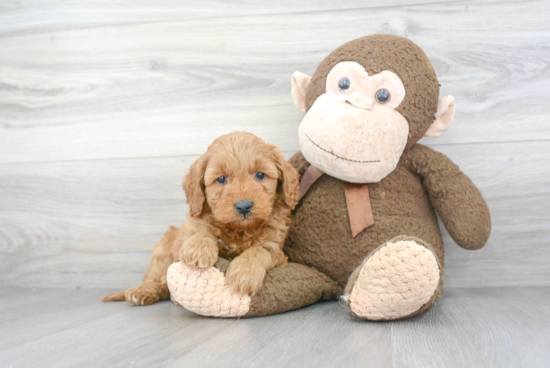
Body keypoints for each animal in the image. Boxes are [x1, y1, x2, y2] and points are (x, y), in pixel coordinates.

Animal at [103, 132, 302, 304]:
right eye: (221, 179)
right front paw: (198, 249)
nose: (244, 206)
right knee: (160, 282)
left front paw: (244, 274)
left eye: (260, 175)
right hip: (163, 248)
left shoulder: (276, 248)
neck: (239, 230)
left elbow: (259, 250)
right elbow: (200, 231)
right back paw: (143, 291)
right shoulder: (192, 226)